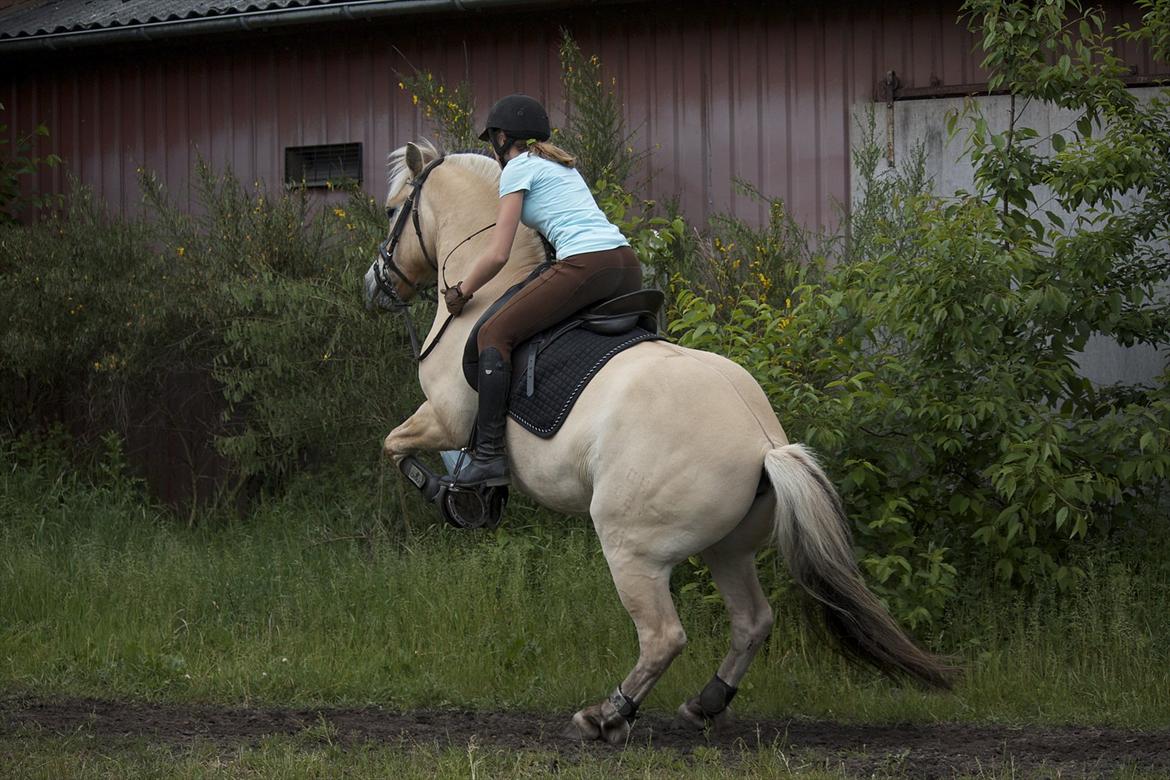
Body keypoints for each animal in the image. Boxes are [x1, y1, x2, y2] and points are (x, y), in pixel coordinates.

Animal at [365, 140, 959, 743]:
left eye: (392, 211)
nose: (375, 285)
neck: (481, 292)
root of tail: (763, 444)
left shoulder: (446, 416)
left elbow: (397, 447)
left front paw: (458, 495)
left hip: (634, 548)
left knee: (663, 636)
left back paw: (607, 715)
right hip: (729, 548)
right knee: (752, 621)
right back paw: (705, 703)